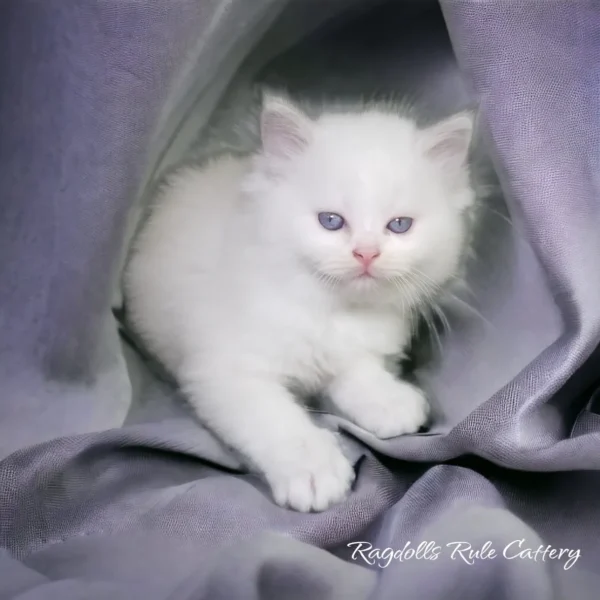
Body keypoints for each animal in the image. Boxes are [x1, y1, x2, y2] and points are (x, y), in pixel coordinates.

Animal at [124, 94, 476, 510]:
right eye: (331, 221)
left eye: (399, 225)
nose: (366, 254)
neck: (331, 310)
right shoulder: (226, 372)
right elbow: (274, 419)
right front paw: (313, 470)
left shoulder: (356, 352)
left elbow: (357, 374)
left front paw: (388, 401)